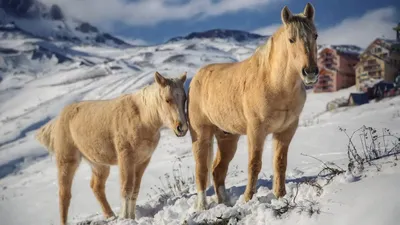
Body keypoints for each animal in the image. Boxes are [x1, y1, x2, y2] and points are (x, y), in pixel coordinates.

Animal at [35, 71, 188, 223]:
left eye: (185, 99)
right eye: (167, 100)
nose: (182, 128)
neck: (142, 118)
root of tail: (59, 117)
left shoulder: (142, 161)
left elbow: (135, 189)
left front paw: (131, 217)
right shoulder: (126, 158)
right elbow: (126, 188)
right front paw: (125, 218)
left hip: (99, 165)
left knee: (96, 187)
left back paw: (110, 215)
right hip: (67, 161)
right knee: (64, 194)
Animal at [188, 3, 318, 211]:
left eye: (315, 35)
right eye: (291, 39)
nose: (311, 72)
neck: (274, 83)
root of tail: (197, 77)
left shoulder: (286, 130)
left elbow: (280, 163)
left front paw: (280, 196)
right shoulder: (256, 130)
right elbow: (254, 164)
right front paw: (248, 199)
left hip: (227, 137)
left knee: (217, 170)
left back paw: (225, 203)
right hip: (201, 135)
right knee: (201, 170)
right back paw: (202, 207)